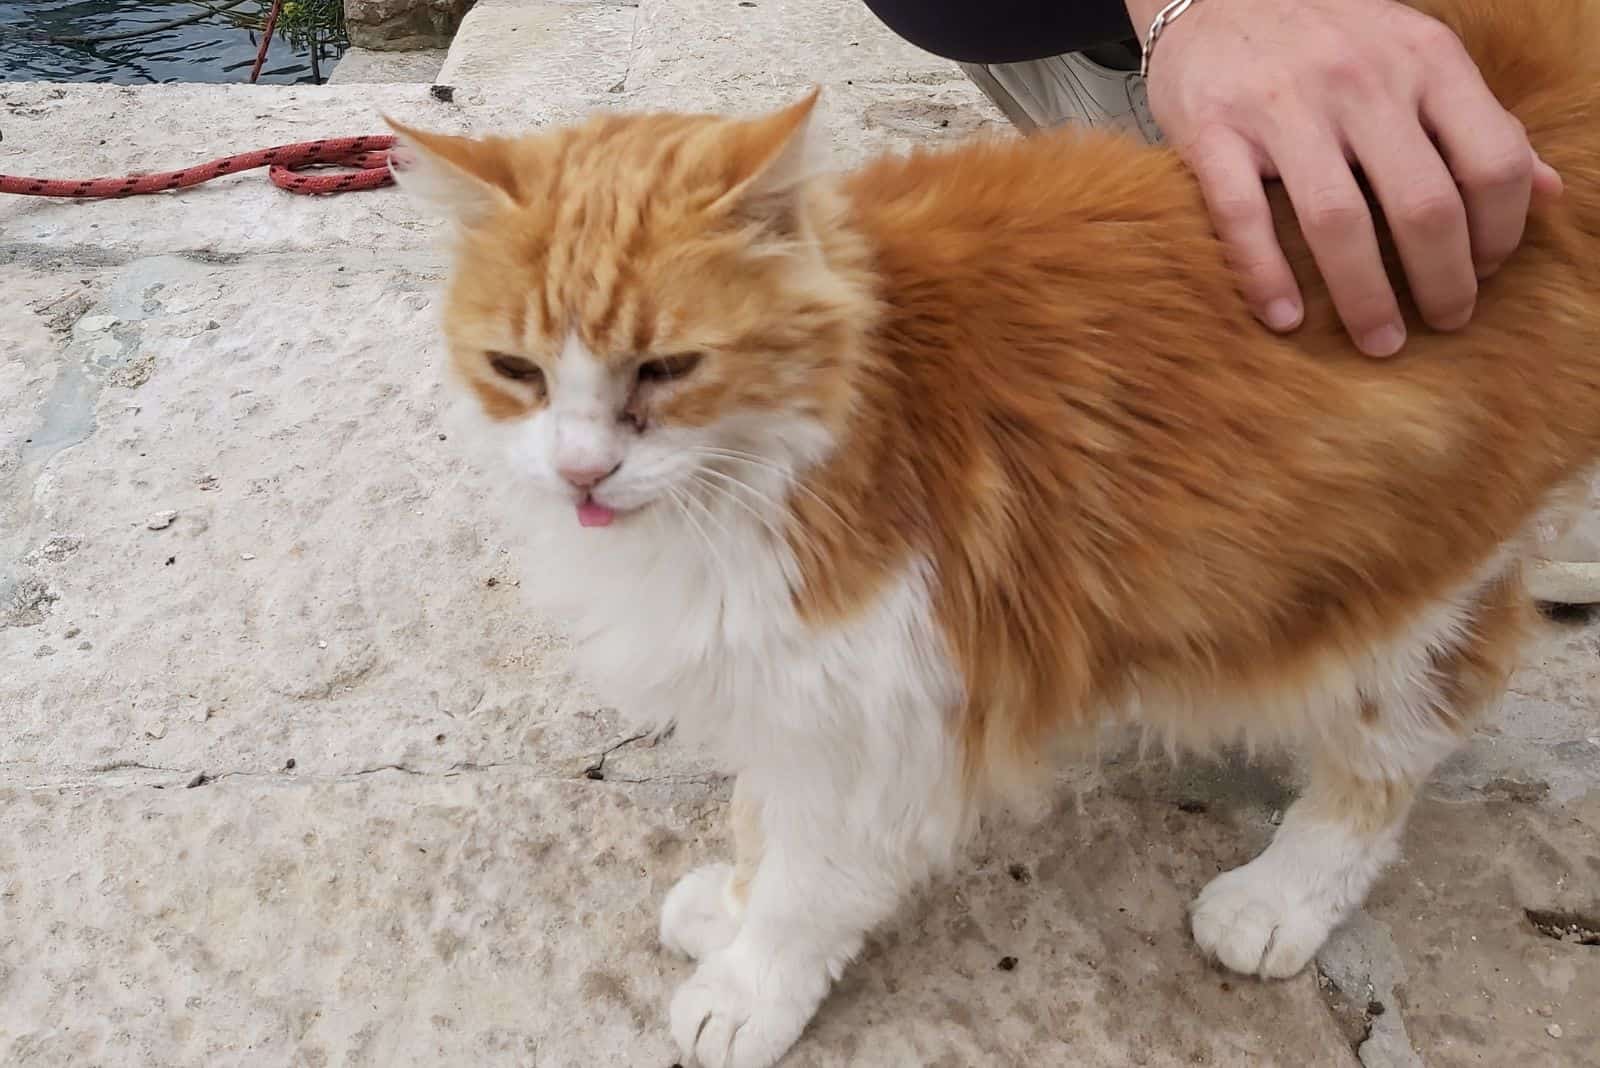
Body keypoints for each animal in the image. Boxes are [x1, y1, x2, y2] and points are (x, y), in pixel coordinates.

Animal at [387, 2, 1600, 1061]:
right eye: (516, 372)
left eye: (667, 369)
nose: (582, 472)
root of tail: (1515, 98)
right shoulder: (792, 686)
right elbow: (757, 817)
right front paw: (726, 904)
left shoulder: (883, 697)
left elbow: (807, 883)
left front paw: (748, 988)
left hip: (1398, 589)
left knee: (1399, 744)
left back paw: (1276, 899)